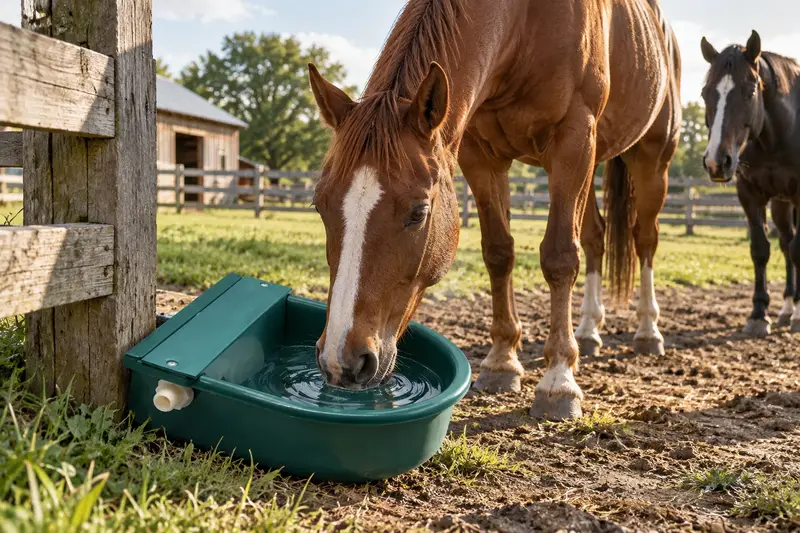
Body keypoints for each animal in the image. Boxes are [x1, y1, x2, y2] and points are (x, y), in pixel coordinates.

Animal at [308, 0, 681, 420]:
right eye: (320, 205)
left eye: (418, 213)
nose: (342, 361)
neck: (524, 24)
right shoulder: (481, 155)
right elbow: (499, 252)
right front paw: (503, 362)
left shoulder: (573, 141)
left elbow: (560, 258)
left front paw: (559, 380)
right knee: (595, 239)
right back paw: (588, 330)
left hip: (650, 159)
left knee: (644, 239)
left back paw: (648, 331)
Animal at [700, 31, 800, 336]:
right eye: (706, 93)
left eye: (751, 91)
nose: (716, 162)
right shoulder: (749, 194)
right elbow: (761, 250)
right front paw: (758, 314)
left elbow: (798, 250)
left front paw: (798, 317)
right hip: (781, 204)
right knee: (785, 243)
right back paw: (787, 307)